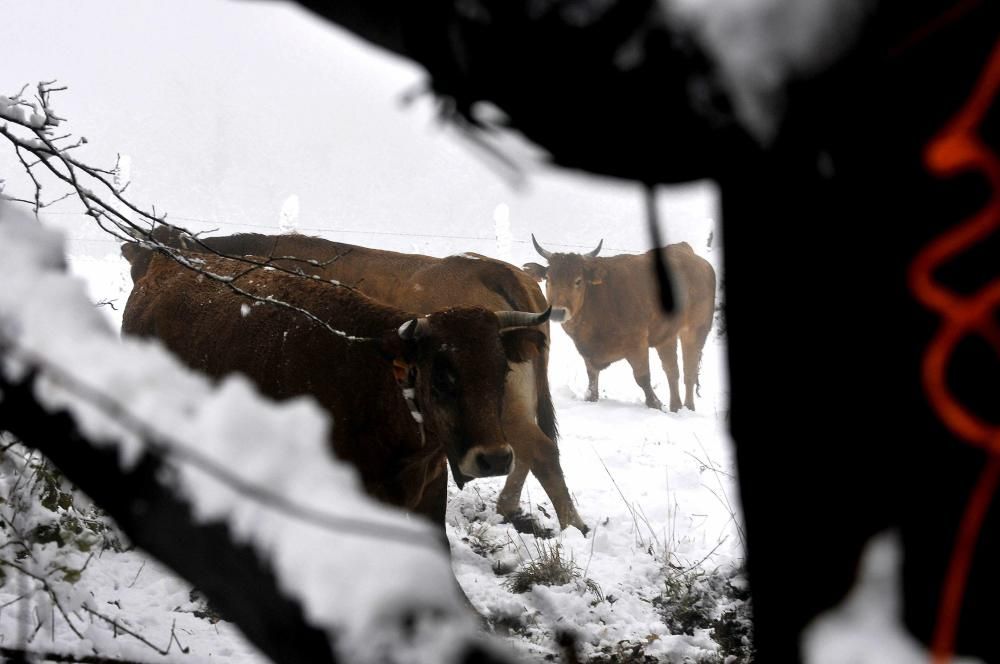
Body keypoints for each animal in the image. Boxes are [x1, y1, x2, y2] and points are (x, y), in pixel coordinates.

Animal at [528, 236, 716, 412]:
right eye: (548, 279)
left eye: (578, 281)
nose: (557, 312)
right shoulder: (587, 351)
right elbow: (592, 379)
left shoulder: (637, 344)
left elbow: (642, 377)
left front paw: (655, 403)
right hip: (666, 338)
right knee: (672, 371)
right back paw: (676, 407)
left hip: (695, 331)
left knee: (689, 371)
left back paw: (688, 407)